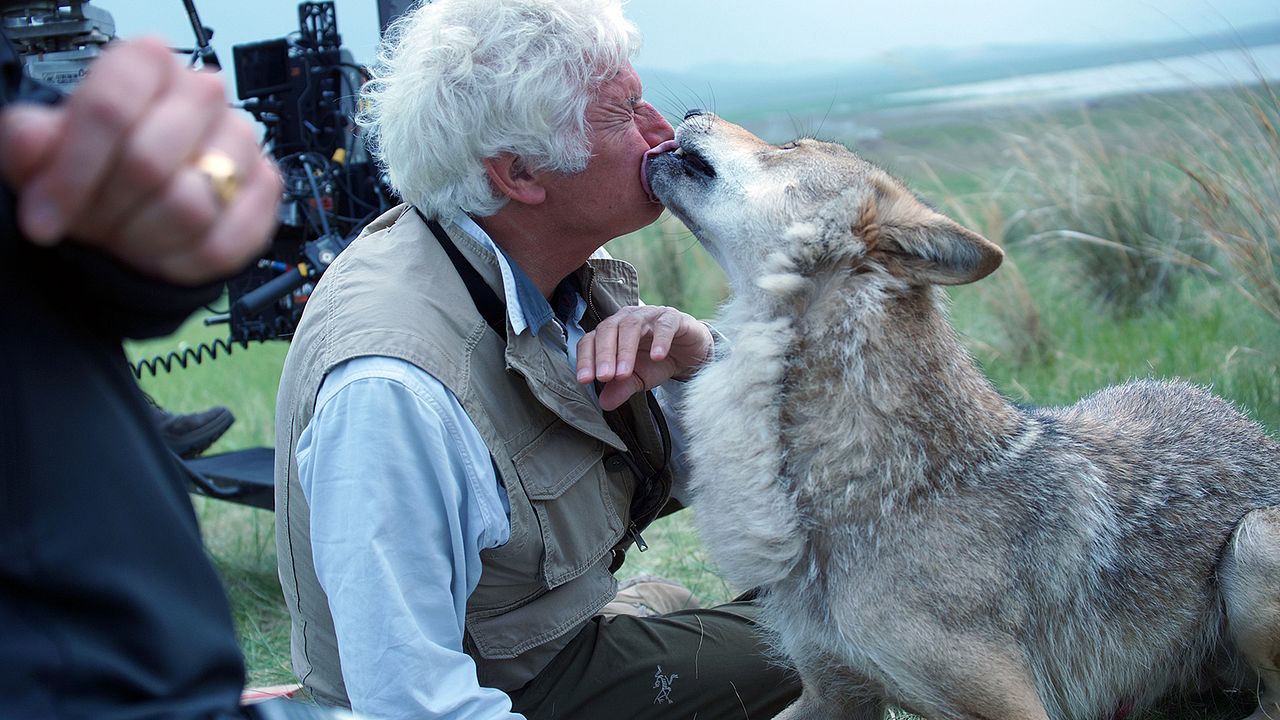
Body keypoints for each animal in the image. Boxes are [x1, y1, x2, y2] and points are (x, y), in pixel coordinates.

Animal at [645, 111, 1280, 720]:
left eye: (789, 147)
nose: (691, 109)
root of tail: (1249, 425)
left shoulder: (1014, 706)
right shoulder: (833, 692)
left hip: (1249, 544)